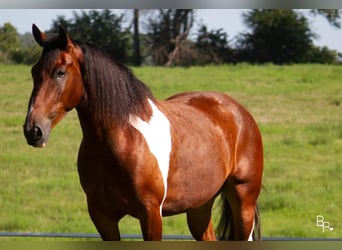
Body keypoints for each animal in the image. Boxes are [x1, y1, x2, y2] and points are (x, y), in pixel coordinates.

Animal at [23, 24, 264, 241]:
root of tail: (239, 112)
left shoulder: (150, 214)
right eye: (34, 72)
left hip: (243, 202)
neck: (124, 140)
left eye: (60, 72)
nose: (33, 130)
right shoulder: (103, 217)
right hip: (199, 206)